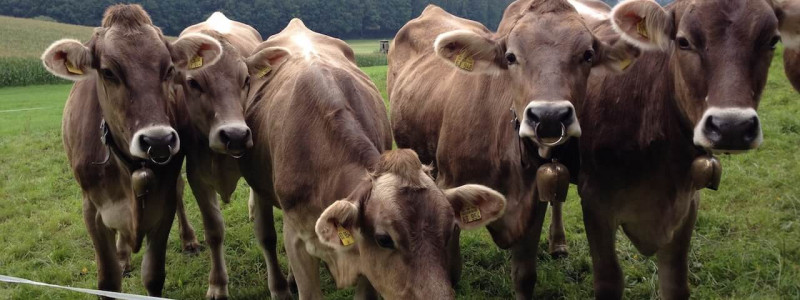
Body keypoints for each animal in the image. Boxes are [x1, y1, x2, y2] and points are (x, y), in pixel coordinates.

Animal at [39, 4, 223, 298]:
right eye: (108, 72)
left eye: (169, 69)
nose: (157, 141)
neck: (130, 166)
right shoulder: (92, 210)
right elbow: (108, 281)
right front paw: (119, 262)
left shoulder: (162, 203)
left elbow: (153, 276)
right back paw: (124, 256)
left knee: (180, 189)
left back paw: (189, 240)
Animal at [174, 12, 288, 298]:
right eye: (193, 82)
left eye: (246, 80)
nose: (235, 135)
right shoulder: (197, 177)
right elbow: (214, 232)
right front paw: (217, 284)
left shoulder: (257, 173)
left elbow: (267, 234)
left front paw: (280, 287)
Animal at [386, 1, 644, 298]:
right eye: (510, 57)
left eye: (588, 55)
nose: (549, 116)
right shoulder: (449, 186)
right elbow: (450, 269)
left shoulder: (532, 200)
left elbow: (524, 275)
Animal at [568, 0, 800, 298]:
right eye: (683, 41)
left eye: (772, 40)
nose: (732, 126)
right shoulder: (594, 202)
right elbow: (609, 280)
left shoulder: (687, 205)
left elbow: (676, 282)